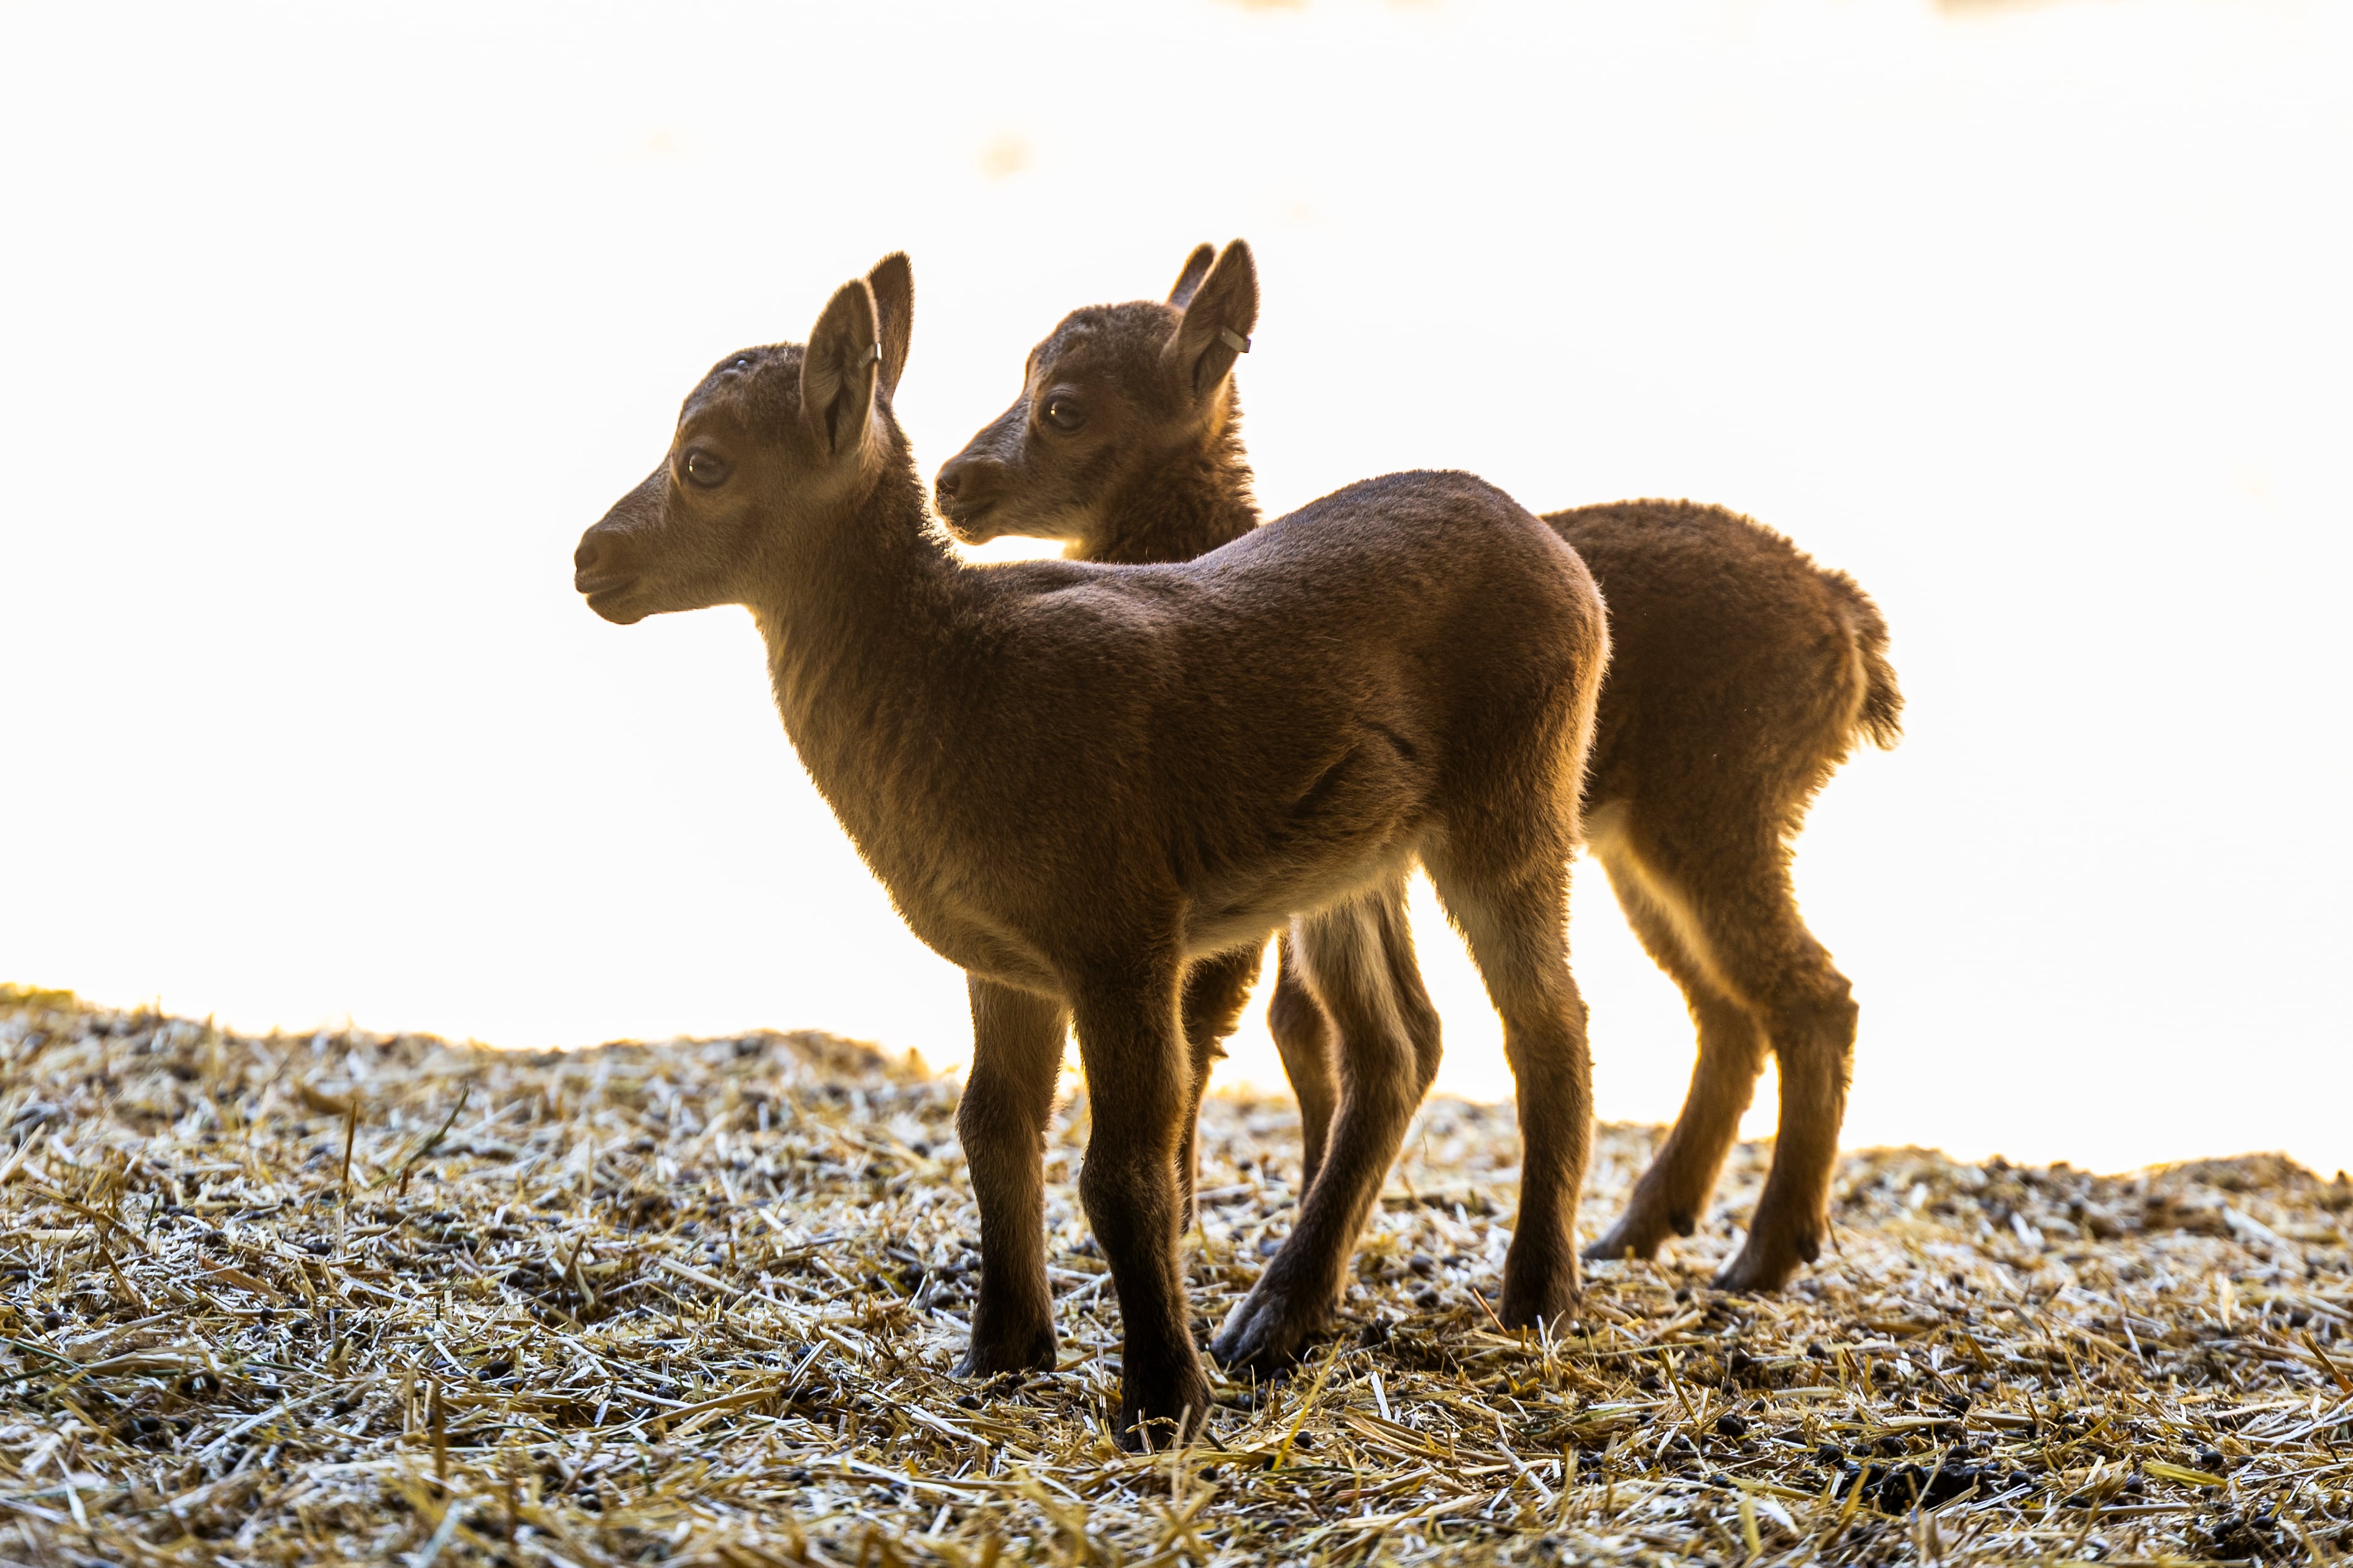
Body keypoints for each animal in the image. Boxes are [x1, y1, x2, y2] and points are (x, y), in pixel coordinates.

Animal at [574, 254, 1609, 1442]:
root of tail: (1561, 555)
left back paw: (1535, 1293)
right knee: (1399, 1045)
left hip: (1514, 799)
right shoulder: (1003, 956)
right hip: (1353, 857)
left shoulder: (1123, 932)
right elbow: (992, 1129)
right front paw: (1002, 1352)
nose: (589, 557)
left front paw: (1162, 1399)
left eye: (703, 462)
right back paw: (1279, 1315)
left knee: (1549, 1022)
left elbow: (1124, 1170)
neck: (953, 677)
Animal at [935, 243, 1902, 1356]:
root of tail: (1850, 631)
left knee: (1806, 995)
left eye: (1063, 407)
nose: (952, 483)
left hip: (1714, 810)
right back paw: (1644, 1226)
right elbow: (1310, 1035)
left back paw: (1756, 1252)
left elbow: (1225, 1032)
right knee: (1725, 1010)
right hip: (1645, 842)